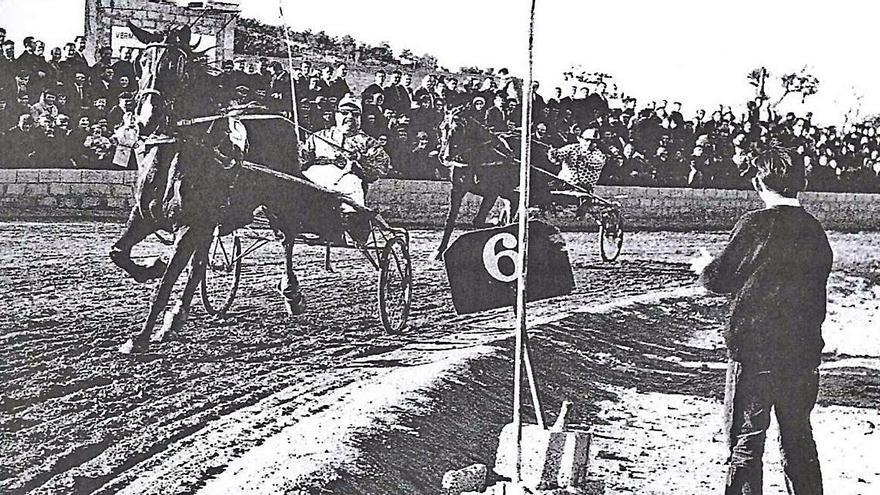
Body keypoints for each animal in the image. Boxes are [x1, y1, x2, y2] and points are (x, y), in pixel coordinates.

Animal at [110, 22, 312, 352]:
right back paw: (176, 317)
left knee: (287, 237)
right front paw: (153, 266)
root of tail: (276, 114)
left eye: (177, 66)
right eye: (141, 62)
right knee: (200, 263)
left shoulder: (190, 225)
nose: (147, 119)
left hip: (278, 198)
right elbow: (118, 253)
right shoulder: (145, 216)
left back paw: (291, 292)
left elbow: (165, 284)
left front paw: (139, 340)